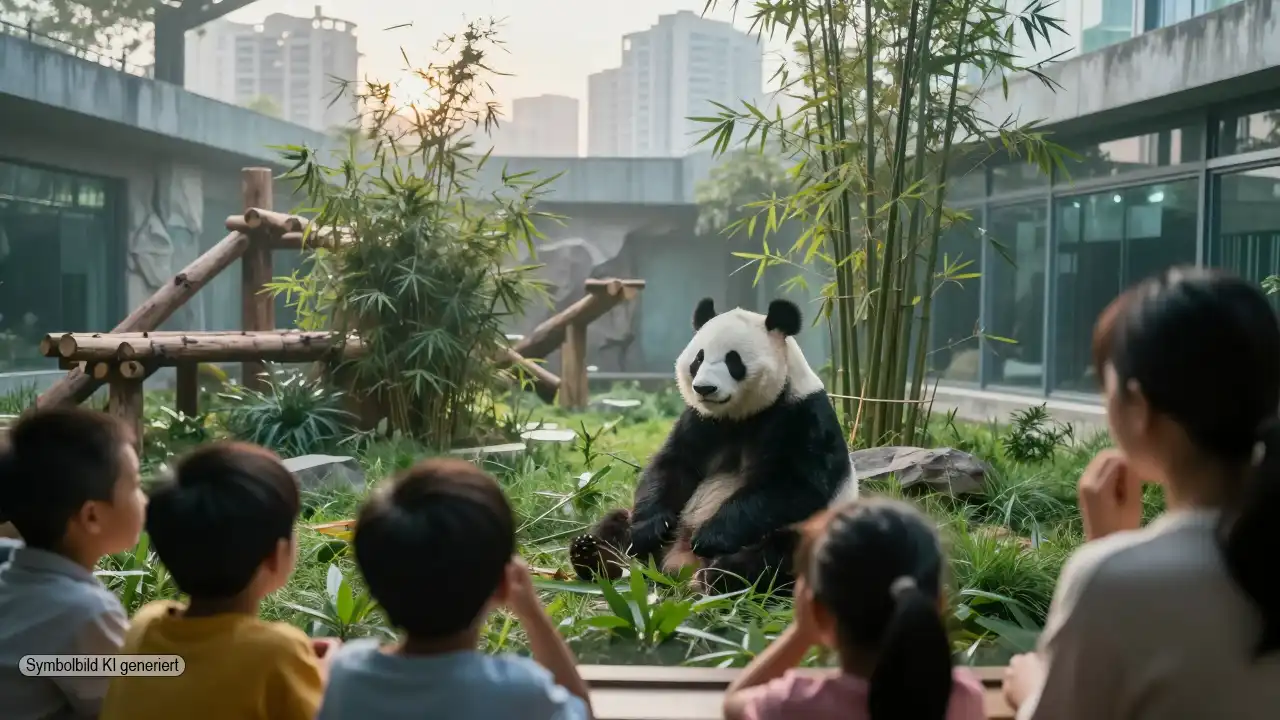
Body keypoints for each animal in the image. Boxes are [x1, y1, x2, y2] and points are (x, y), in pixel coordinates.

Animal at [569, 296, 855, 591]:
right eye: (699, 358)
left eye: (733, 360)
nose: (704, 388)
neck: (742, 415)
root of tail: (678, 566)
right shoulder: (701, 420)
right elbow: (673, 465)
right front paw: (649, 530)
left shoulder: (802, 417)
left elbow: (794, 485)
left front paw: (711, 536)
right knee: (616, 523)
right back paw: (592, 555)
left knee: (778, 557)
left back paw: (722, 575)